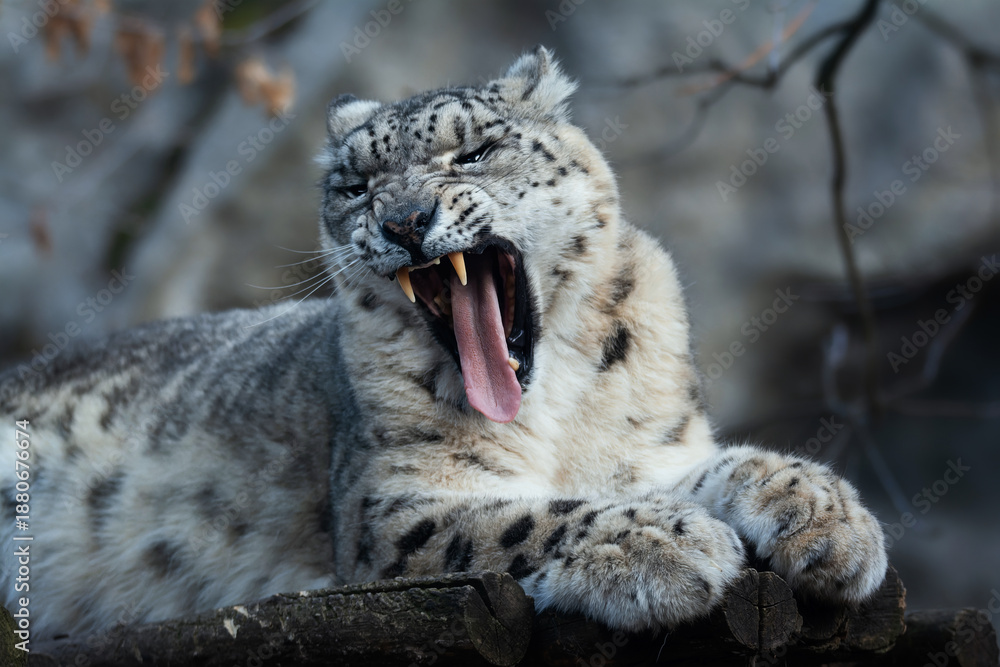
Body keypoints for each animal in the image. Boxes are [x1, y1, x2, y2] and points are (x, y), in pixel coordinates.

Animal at [0, 46, 887, 641]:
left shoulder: (651, 451)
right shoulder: (394, 505)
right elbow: (520, 517)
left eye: (476, 150)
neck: (559, 407)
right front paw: (665, 539)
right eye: (354, 186)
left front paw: (829, 518)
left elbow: (725, 465)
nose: (402, 219)